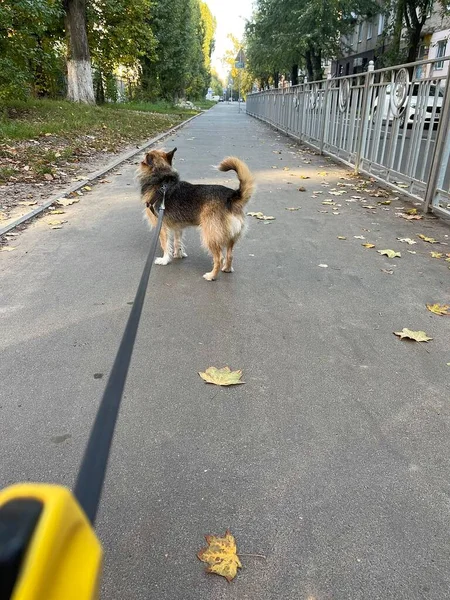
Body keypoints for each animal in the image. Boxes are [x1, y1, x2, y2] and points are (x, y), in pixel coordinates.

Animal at [138, 150, 253, 282]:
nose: (143, 153)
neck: (161, 179)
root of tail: (232, 197)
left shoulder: (161, 227)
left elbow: (165, 245)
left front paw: (165, 260)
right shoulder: (178, 227)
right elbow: (177, 242)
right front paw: (178, 254)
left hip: (210, 235)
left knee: (219, 258)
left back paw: (212, 276)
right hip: (231, 236)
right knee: (230, 255)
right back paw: (227, 269)